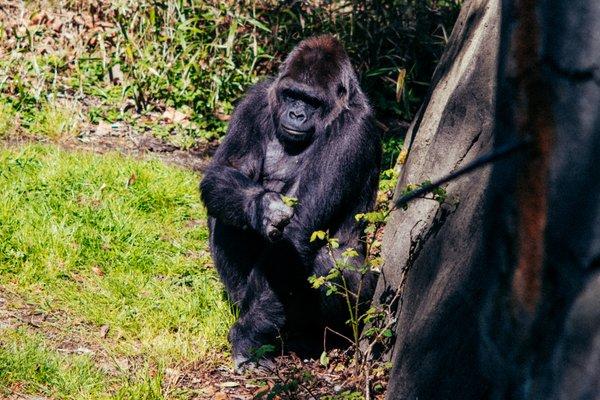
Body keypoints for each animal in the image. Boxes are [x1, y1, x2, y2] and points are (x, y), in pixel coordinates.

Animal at [200, 35, 380, 368]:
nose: (297, 114)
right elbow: (223, 174)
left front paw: (247, 336)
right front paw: (260, 209)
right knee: (226, 215)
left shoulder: (352, 130)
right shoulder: (256, 99)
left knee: (328, 261)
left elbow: (297, 237)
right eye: (291, 95)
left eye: (311, 101)